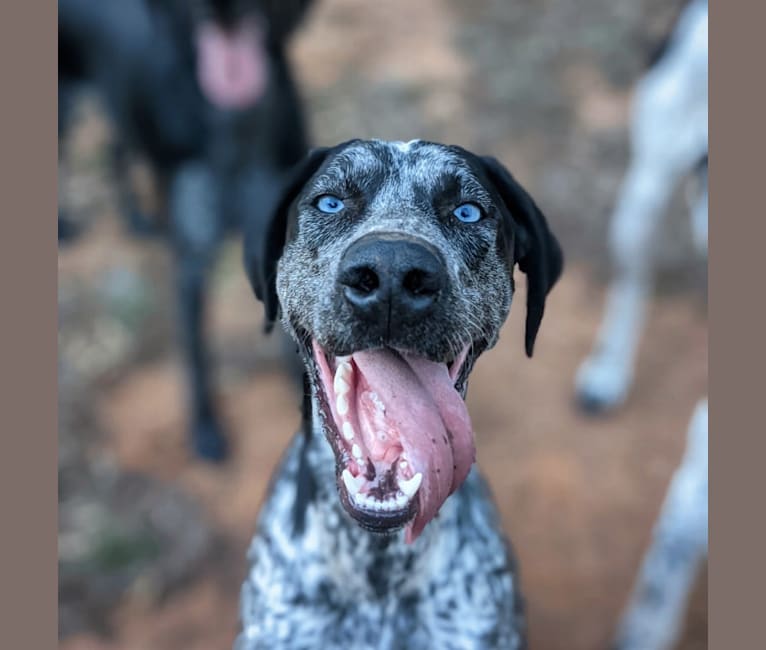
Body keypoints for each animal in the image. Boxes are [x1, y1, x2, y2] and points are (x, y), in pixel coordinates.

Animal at [56, 0, 316, 458]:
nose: (222, 8)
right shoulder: (190, 260)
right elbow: (197, 351)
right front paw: (205, 429)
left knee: (115, 148)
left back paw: (136, 221)